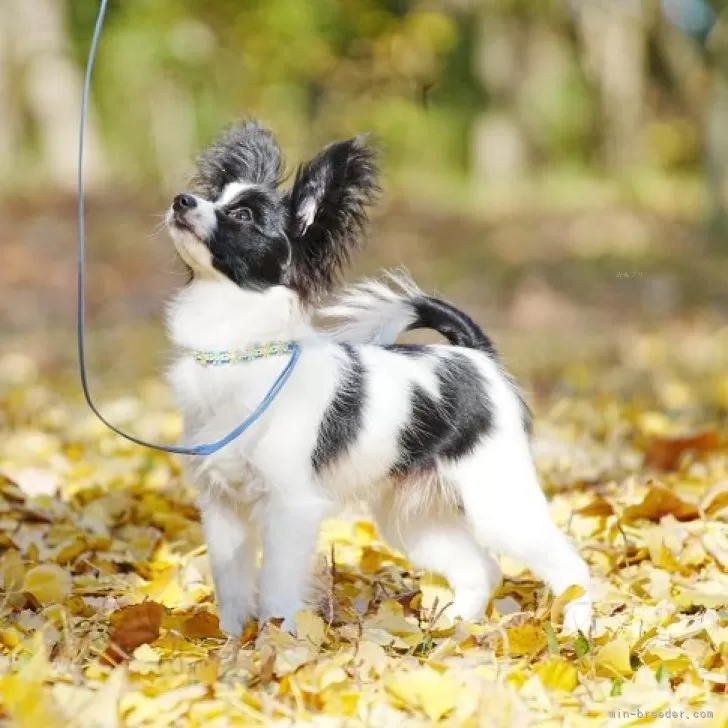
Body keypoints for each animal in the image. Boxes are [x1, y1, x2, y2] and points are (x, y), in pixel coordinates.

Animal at [165, 119, 592, 636]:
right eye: (215, 196)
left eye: (243, 215)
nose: (182, 200)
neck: (239, 351)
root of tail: (475, 355)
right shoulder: (222, 507)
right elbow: (231, 588)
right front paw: (228, 646)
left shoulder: (290, 508)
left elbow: (276, 593)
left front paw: (279, 647)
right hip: (410, 517)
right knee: (482, 569)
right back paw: (449, 634)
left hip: (497, 500)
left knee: (569, 566)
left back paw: (579, 631)